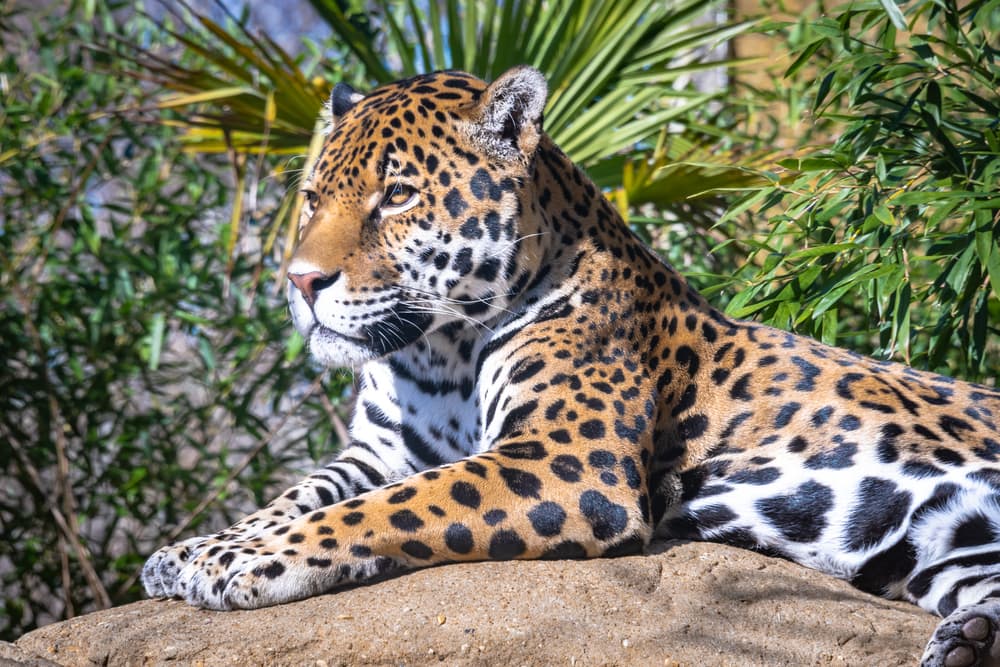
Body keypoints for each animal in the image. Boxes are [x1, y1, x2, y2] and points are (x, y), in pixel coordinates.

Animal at [142, 66, 1000, 667]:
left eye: (398, 196)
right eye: (314, 196)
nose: (300, 282)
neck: (438, 346)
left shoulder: (565, 456)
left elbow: (383, 508)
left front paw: (239, 561)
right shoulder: (379, 449)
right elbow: (303, 494)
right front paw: (192, 549)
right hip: (947, 544)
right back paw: (969, 639)